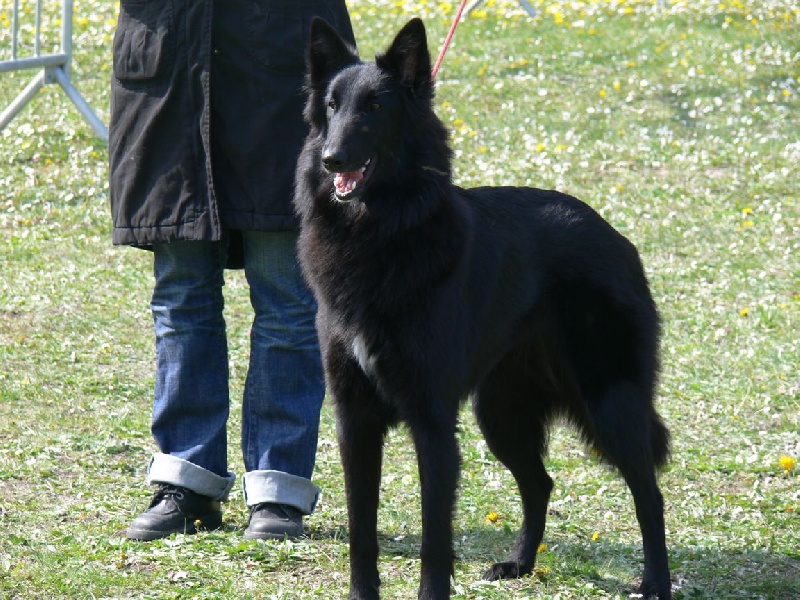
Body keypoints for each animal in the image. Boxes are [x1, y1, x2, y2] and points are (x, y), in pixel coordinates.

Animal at [294, 17, 672, 600]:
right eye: (331, 106)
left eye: (375, 107)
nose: (332, 158)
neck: (382, 231)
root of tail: (615, 236)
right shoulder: (354, 420)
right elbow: (362, 531)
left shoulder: (432, 422)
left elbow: (434, 536)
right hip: (500, 414)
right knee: (541, 482)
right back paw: (519, 563)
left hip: (609, 402)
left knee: (648, 493)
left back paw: (655, 581)